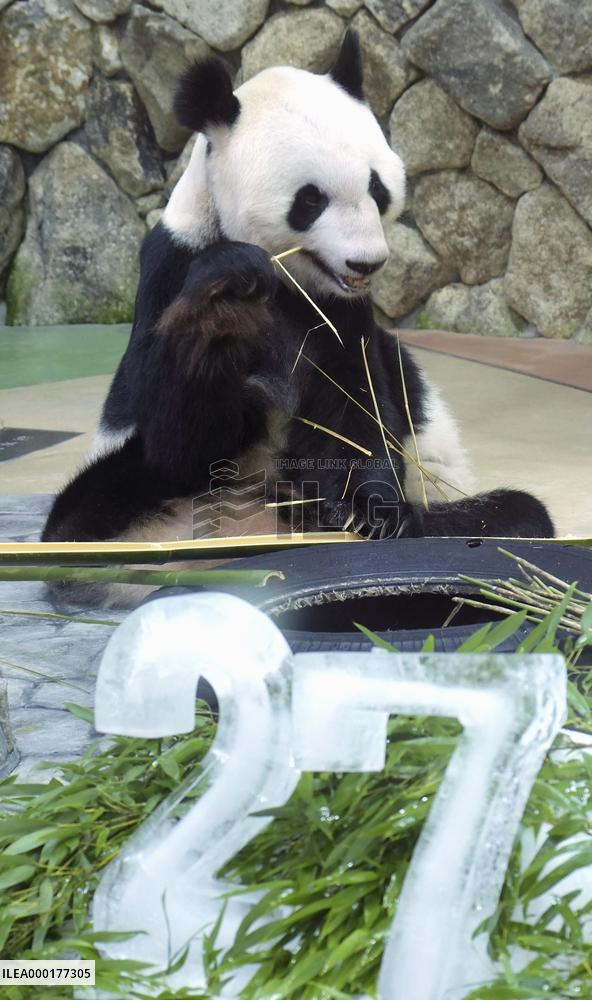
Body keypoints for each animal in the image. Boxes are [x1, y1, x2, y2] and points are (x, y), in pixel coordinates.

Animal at [42, 31, 554, 600]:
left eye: (377, 187)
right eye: (310, 200)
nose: (366, 262)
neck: (289, 280)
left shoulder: (342, 313)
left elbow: (355, 408)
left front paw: (374, 512)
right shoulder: (170, 271)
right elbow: (180, 438)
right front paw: (226, 302)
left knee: (510, 517)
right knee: (86, 518)